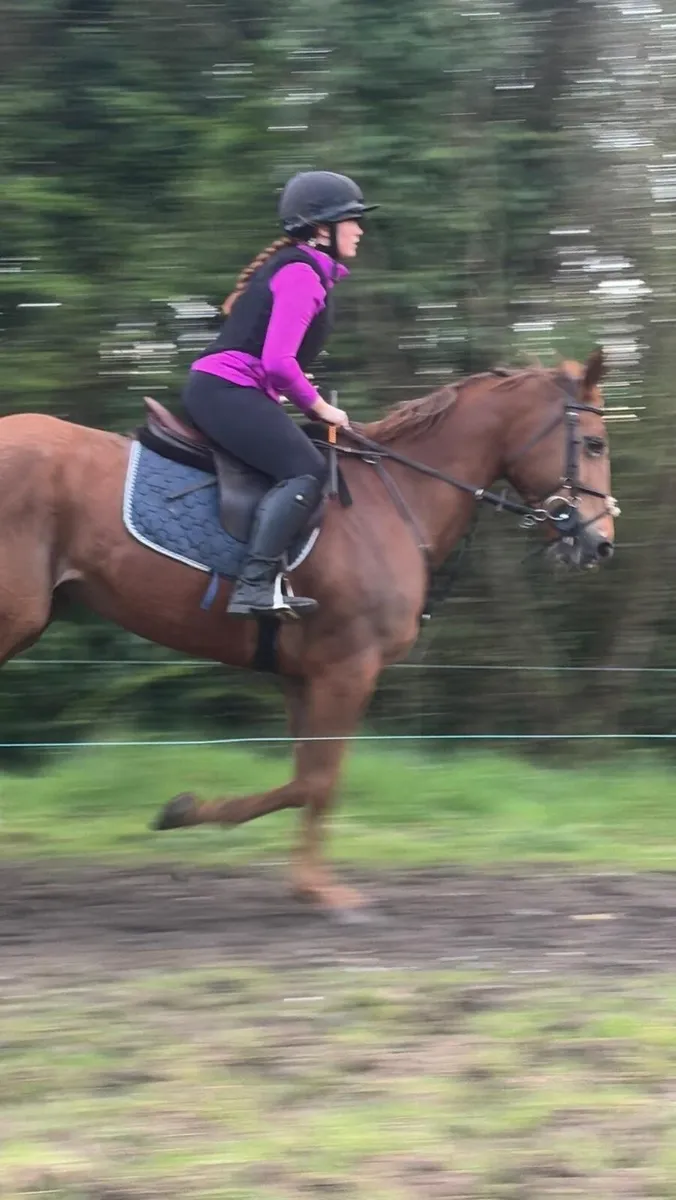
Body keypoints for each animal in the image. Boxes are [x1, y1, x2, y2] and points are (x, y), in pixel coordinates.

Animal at [1, 348, 617, 919]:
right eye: (594, 444)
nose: (601, 544)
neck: (393, 501)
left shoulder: (303, 676)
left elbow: (311, 779)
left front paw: (302, 881)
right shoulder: (347, 669)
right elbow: (317, 781)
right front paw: (303, 880)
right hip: (17, 619)